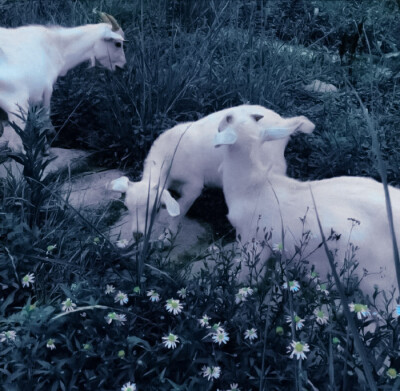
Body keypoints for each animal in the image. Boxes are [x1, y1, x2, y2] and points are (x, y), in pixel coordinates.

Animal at [0, 12, 126, 152]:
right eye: (118, 44)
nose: (123, 67)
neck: (55, 46)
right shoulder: (47, 89)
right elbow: (45, 117)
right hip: (17, 105)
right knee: (15, 145)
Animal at [110, 105, 316, 239]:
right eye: (127, 208)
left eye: (155, 209)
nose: (137, 235)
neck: (167, 156)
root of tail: (284, 124)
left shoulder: (193, 185)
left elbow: (180, 210)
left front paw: (168, 237)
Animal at [214, 108, 400, 306]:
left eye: (228, 119)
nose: (219, 124)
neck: (253, 187)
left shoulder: (252, 241)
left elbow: (245, 278)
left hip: (380, 282)